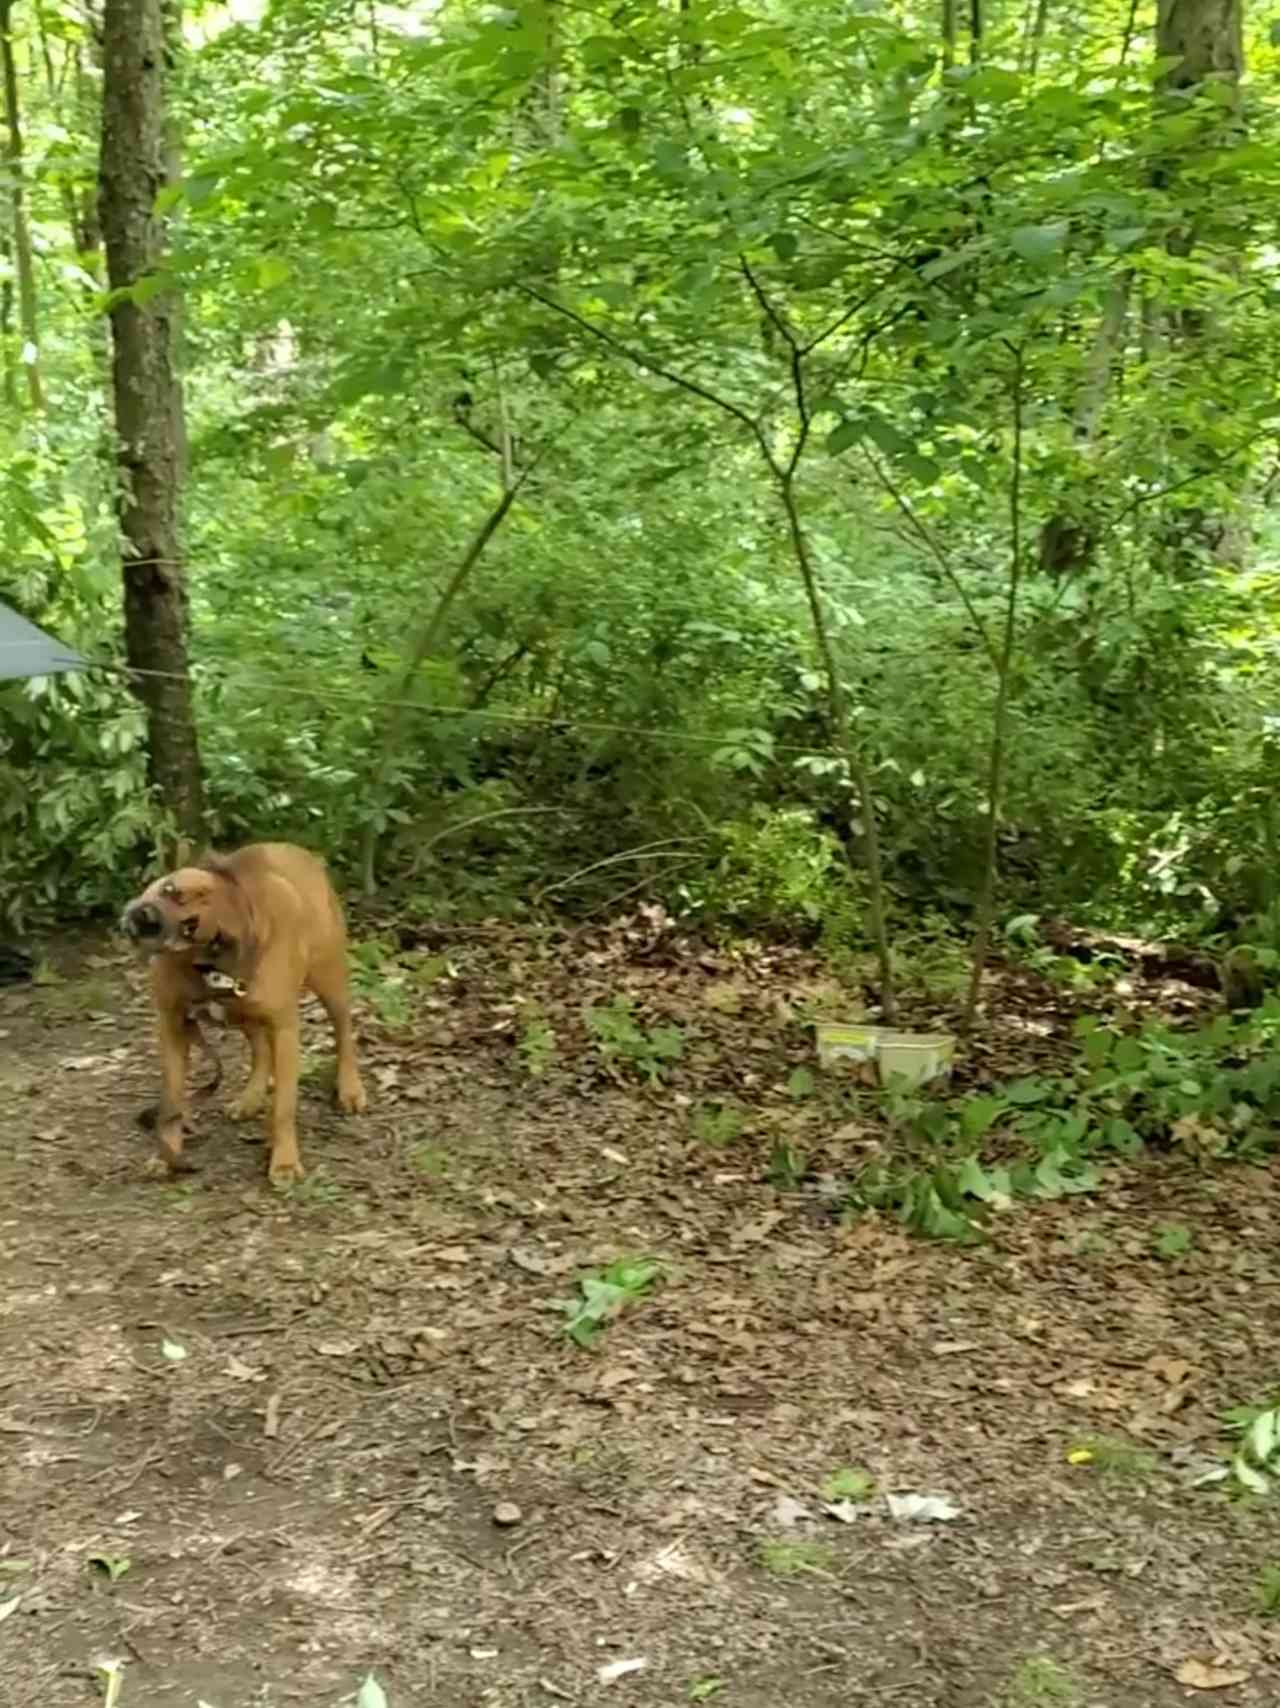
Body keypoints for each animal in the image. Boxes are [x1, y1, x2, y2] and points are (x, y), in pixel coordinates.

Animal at [120, 843, 367, 1188]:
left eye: (188, 922)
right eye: (167, 889)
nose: (144, 915)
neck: (208, 963)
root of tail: (294, 849)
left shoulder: (285, 1029)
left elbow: (283, 1107)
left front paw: (284, 1162)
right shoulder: (173, 1026)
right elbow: (171, 1104)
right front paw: (166, 1157)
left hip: (329, 982)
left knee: (344, 1033)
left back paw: (350, 1089)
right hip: (243, 1014)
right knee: (260, 1049)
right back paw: (250, 1099)